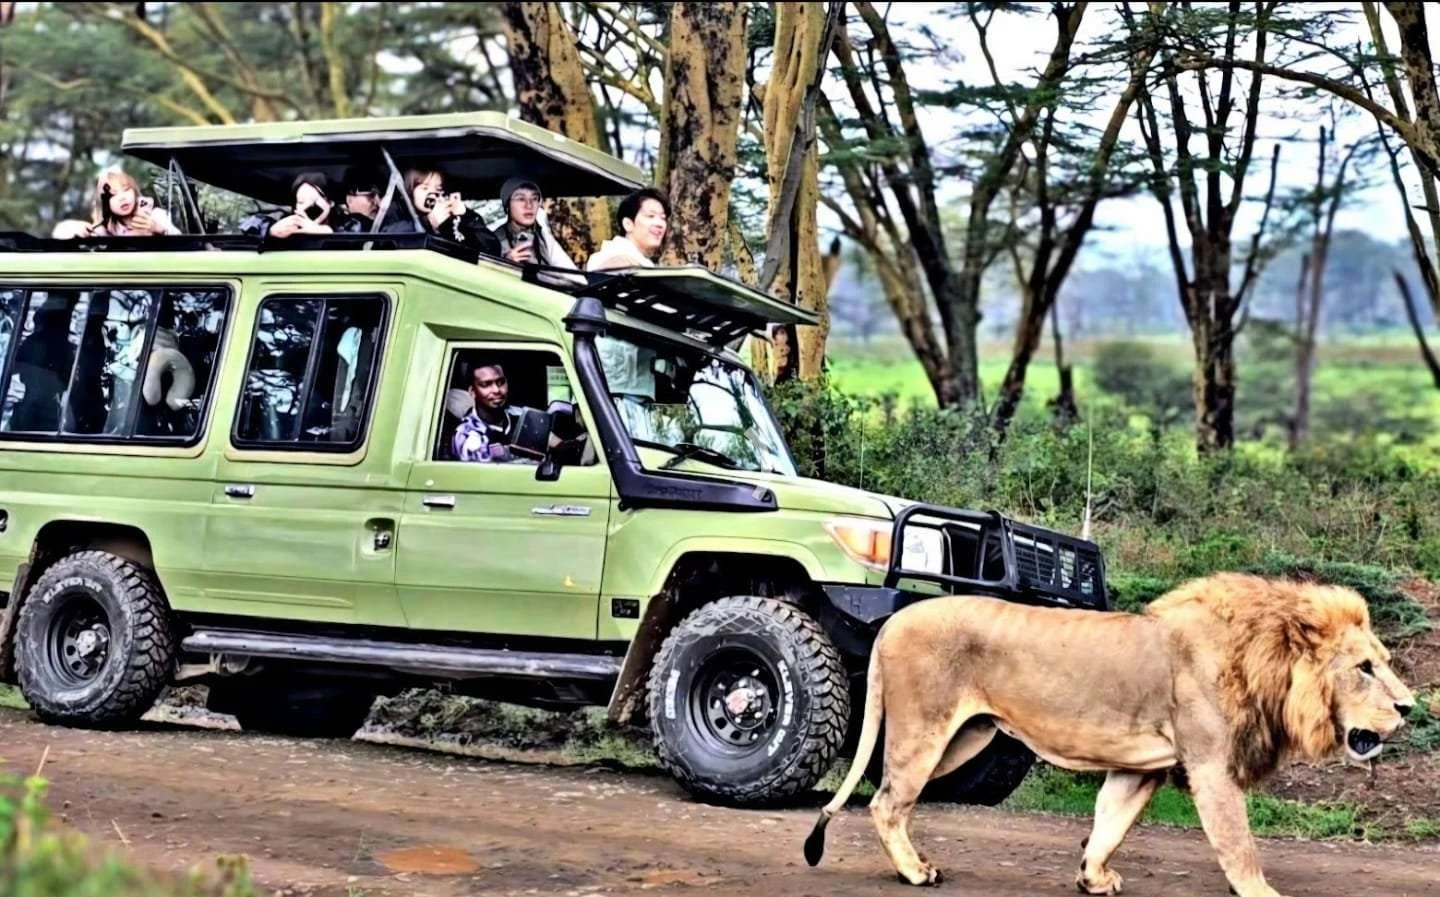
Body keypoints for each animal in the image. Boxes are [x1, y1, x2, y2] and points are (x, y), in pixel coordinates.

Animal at [802, 573, 1416, 896]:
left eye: (1384, 663)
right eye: (1364, 668)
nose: (1410, 707)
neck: (1264, 665)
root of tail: (892, 624)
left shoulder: (1140, 768)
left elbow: (1110, 824)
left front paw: (1092, 878)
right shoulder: (1211, 767)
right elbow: (1238, 842)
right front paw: (1260, 891)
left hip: (965, 738)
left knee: (887, 792)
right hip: (926, 730)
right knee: (886, 801)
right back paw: (914, 871)